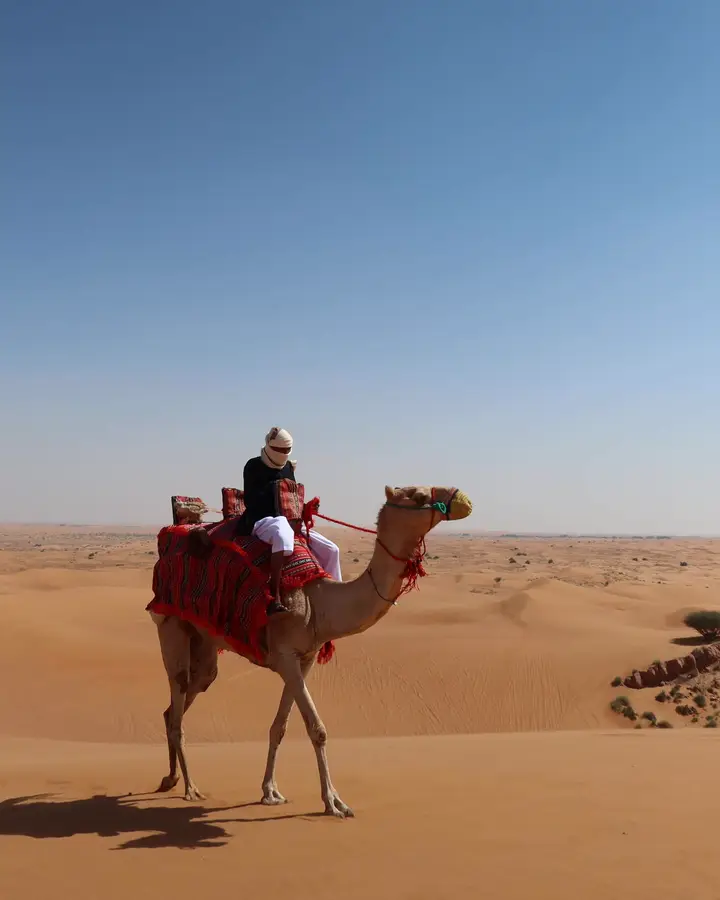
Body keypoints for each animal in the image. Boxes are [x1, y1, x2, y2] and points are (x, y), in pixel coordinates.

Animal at [149, 484, 472, 818]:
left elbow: (280, 726)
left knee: (187, 694)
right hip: (171, 624)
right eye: (418, 495)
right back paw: (190, 788)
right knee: (179, 693)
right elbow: (317, 728)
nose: (462, 499)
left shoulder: (305, 658)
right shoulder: (284, 657)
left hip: (205, 640)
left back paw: (170, 779)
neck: (318, 603)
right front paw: (334, 802)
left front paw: (270, 791)